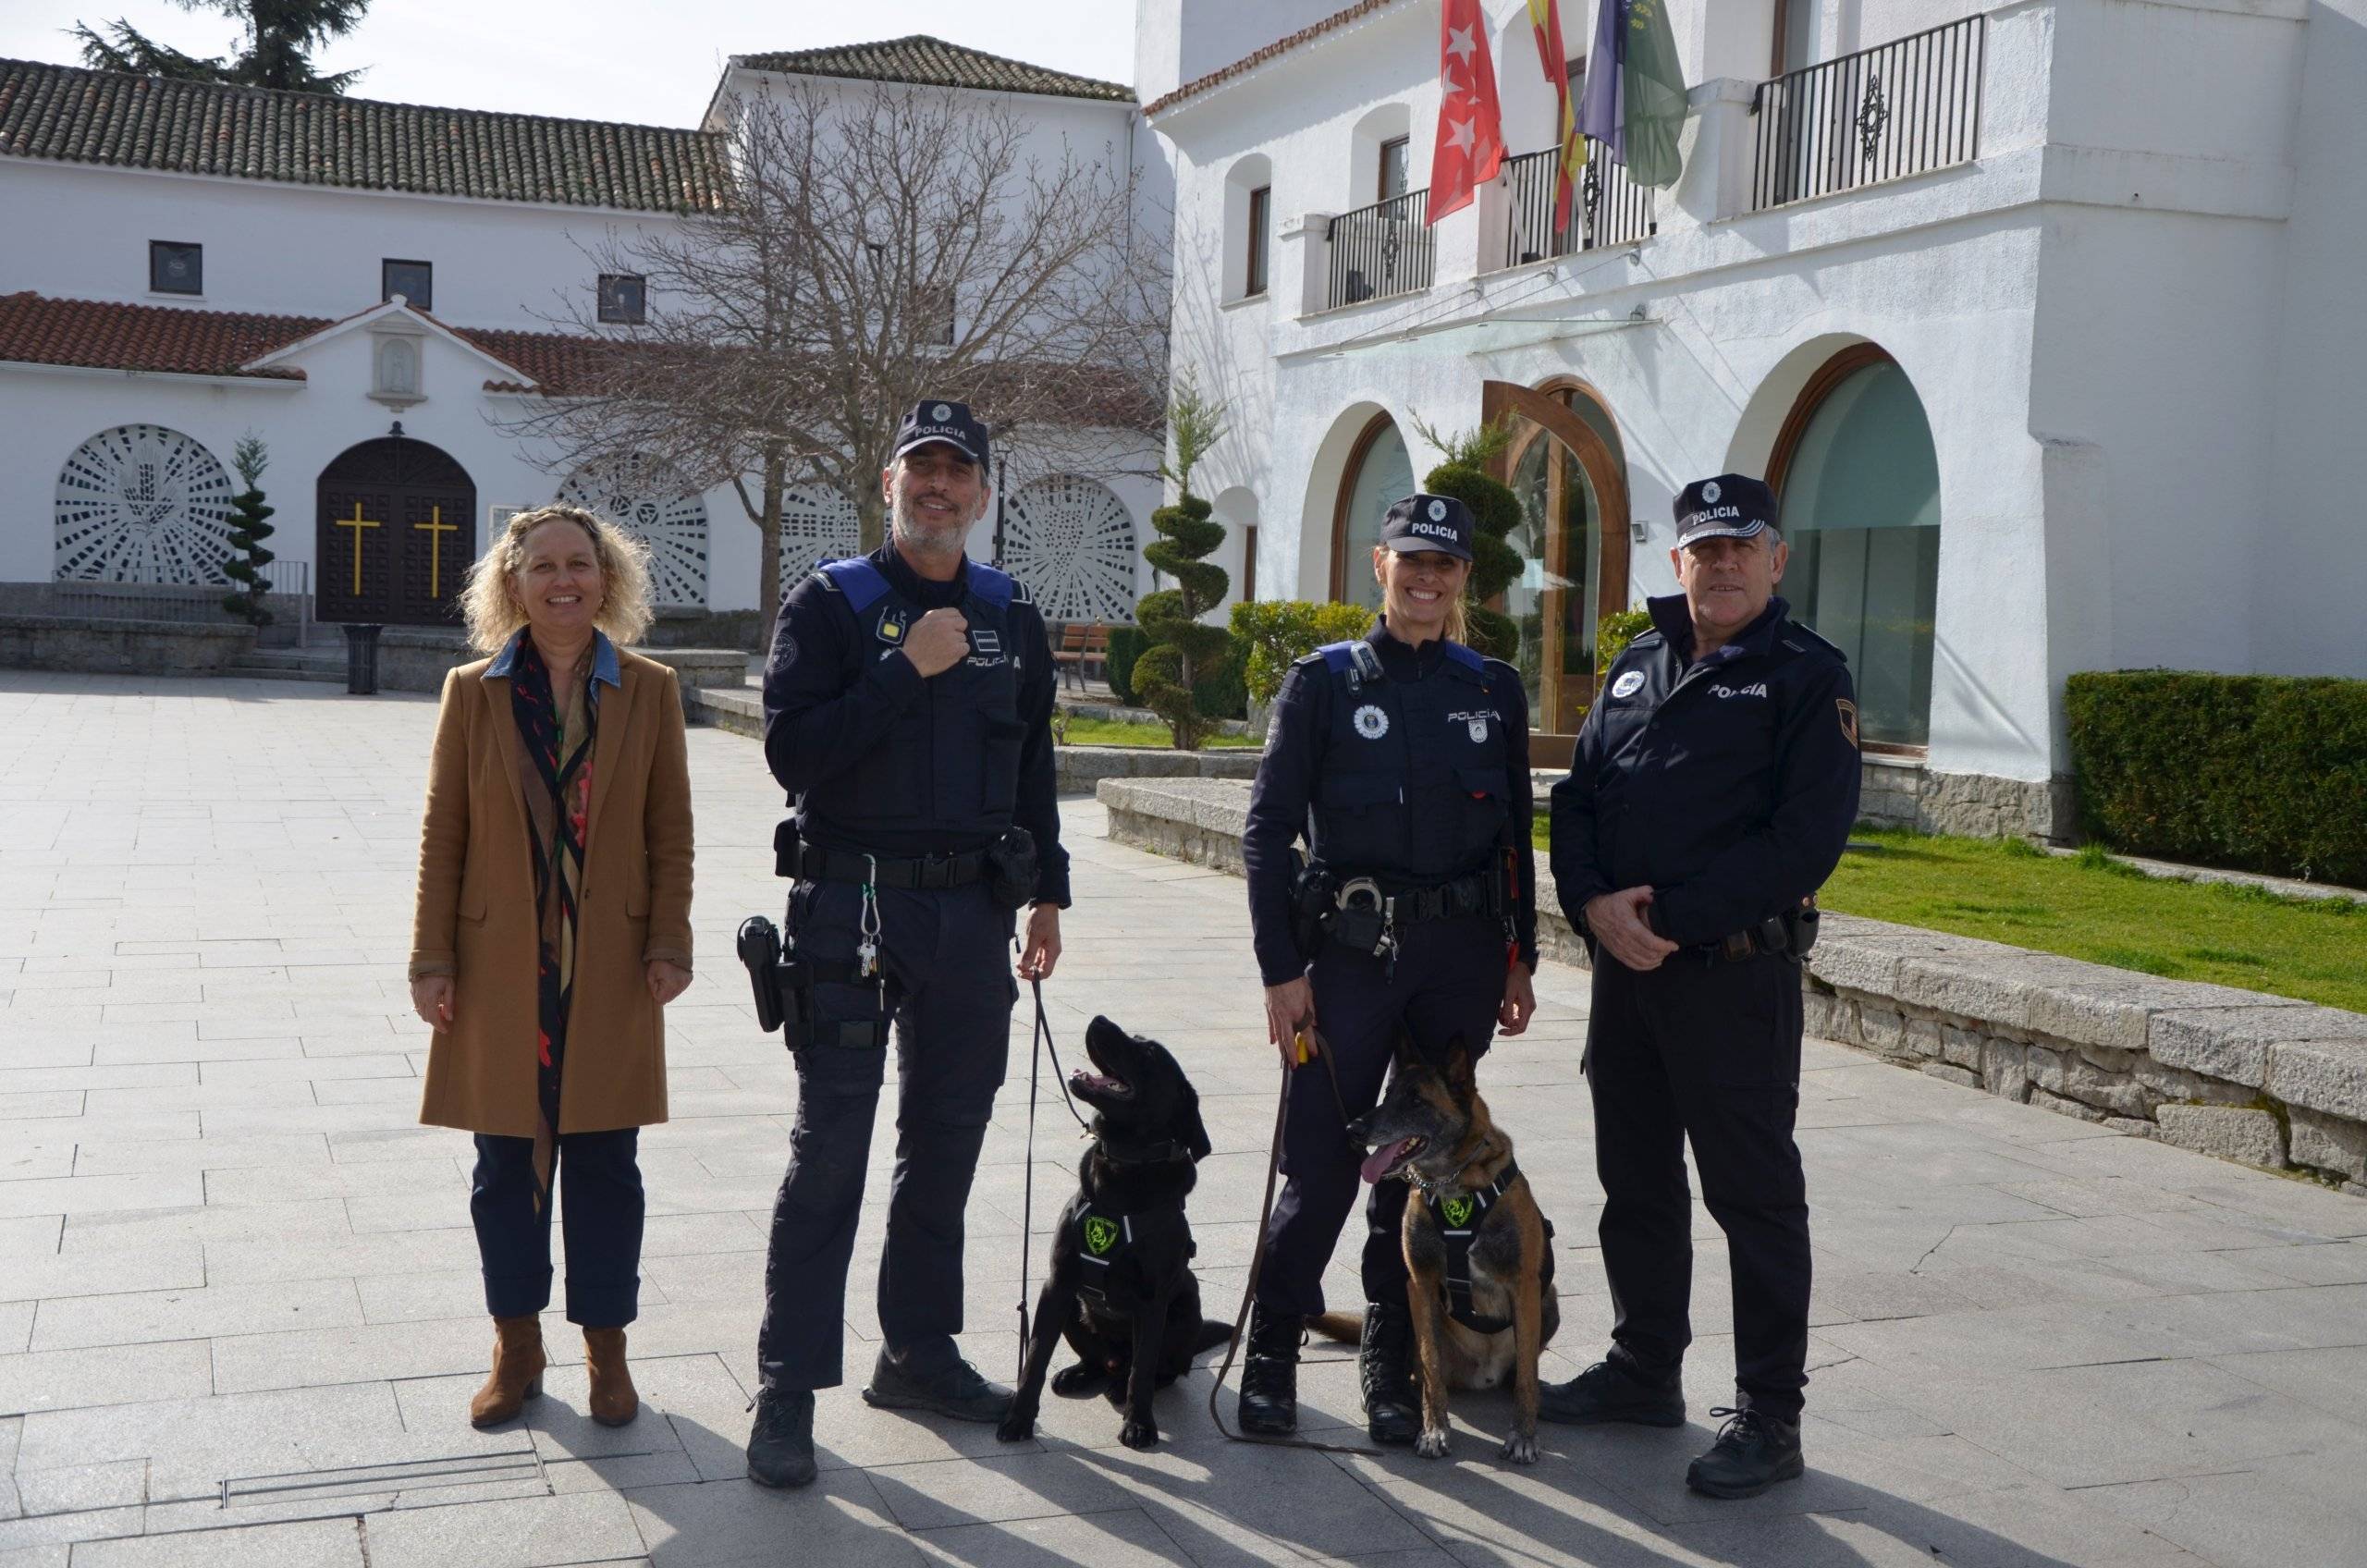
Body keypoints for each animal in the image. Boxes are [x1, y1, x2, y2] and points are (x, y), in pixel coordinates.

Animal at [994, 1018, 1231, 1449]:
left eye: (1149, 1052)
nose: (1099, 1019)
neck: (1125, 1166)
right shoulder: (1056, 1284)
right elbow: (1034, 1357)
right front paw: (1018, 1418)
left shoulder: (1153, 1301)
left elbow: (1144, 1370)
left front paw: (1139, 1424)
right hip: (1074, 1310)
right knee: (1099, 1361)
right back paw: (1079, 1373)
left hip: (1185, 1309)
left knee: (1156, 1370)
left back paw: (1123, 1386)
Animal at [1325, 1037, 1562, 1468]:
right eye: (1388, 1094)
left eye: (1416, 1100)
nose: (1353, 1130)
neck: (1454, 1183)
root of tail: (1483, 1375)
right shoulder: (1419, 1284)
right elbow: (1431, 1364)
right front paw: (1434, 1429)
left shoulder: (1524, 1285)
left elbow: (1525, 1380)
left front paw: (1523, 1435)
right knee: (1421, 1367)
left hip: (1547, 1299)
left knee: (1522, 1368)